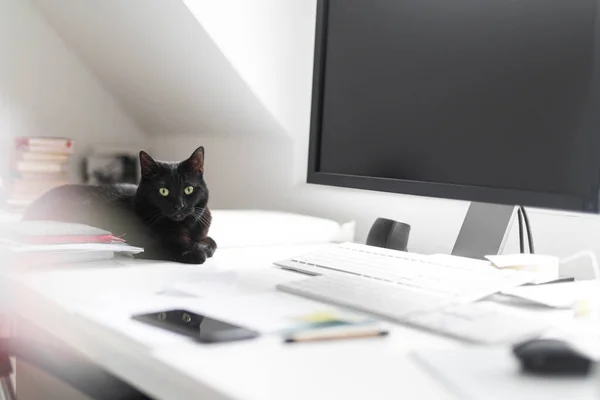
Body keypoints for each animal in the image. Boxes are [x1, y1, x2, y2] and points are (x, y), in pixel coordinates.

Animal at [22, 145, 217, 264]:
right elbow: (179, 248)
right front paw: (196, 252)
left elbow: (212, 242)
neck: (187, 227)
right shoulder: (148, 245)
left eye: (188, 189)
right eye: (163, 191)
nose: (179, 206)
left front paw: (203, 246)